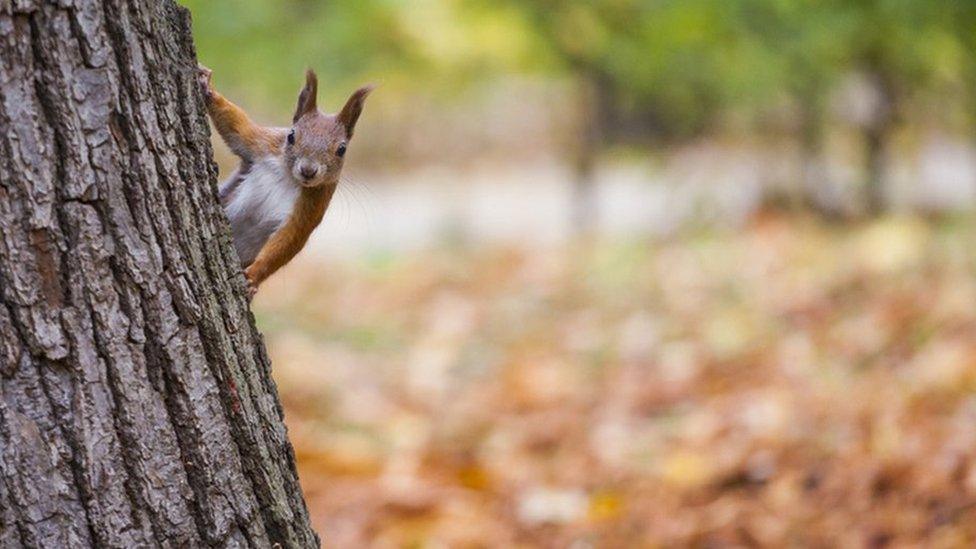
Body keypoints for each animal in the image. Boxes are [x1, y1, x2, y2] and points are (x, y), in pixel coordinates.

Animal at [196, 64, 372, 296]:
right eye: (291, 136)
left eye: (342, 149)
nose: (308, 170)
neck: (289, 177)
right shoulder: (262, 144)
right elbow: (237, 126)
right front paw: (208, 87)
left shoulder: (312, 206)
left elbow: (289, 240)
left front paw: (254, 277)